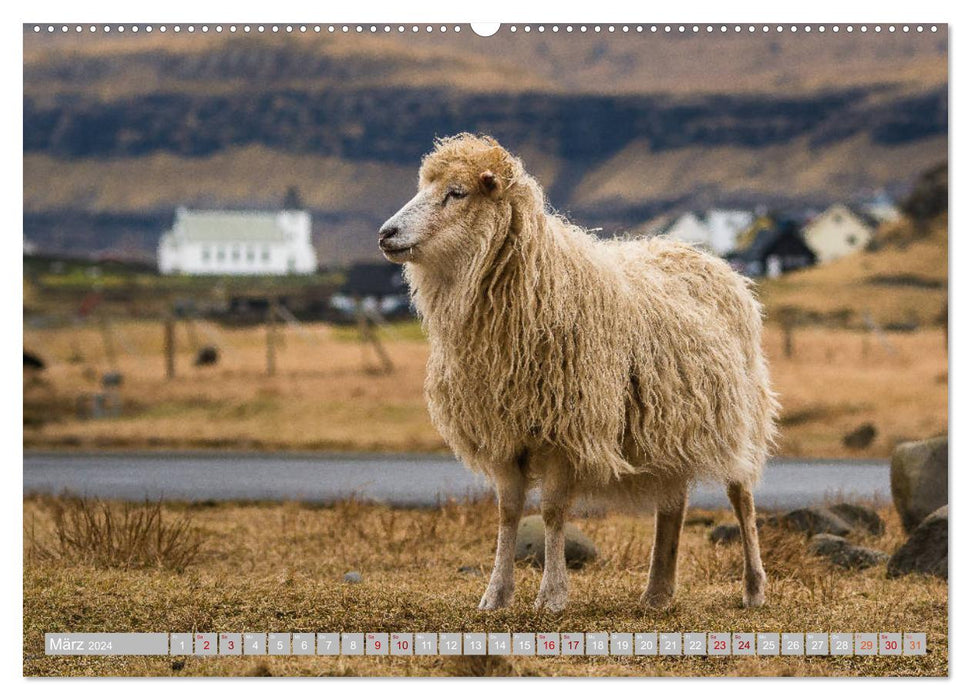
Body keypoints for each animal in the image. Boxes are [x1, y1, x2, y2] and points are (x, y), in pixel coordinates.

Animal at [376, 134, 780, 608]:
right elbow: (508, 512)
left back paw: (753, 588)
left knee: (743, 498)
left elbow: (552, 512)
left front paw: (551, 596)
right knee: (673, 503)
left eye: (456, 193)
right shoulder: (504, 433)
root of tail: (704, 256)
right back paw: (657, 593)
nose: (385, 234)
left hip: (741, 414)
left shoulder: (567, 430)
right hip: (669, 423)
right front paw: (495, 595)